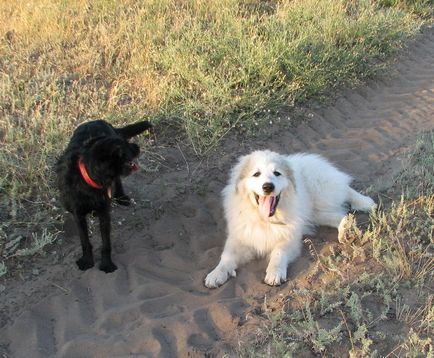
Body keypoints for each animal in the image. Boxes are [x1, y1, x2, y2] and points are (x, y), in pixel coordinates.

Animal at [56, 119, 153, 272]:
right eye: (124, 148)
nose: (137, 146)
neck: (88, 179)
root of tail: (98, 120)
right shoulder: (79, 215)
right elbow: (85, 241)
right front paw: (87, 261)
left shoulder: (104, 213)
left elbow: (106, 244)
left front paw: (107, 264)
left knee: (117, 180)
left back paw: (121, 197)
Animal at [204, 151, 376, 288]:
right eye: (256, 174)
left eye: (277, 173)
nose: (268, 187)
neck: (265, 220)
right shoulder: (240, 237)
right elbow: (226, 256)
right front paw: (216, 274)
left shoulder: (290, 238)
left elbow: (278, 252)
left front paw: (274, 273)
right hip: (314, 213)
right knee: (340, 214)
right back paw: (345, 229)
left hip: (320, 190)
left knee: (345, 189)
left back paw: (365, 203)